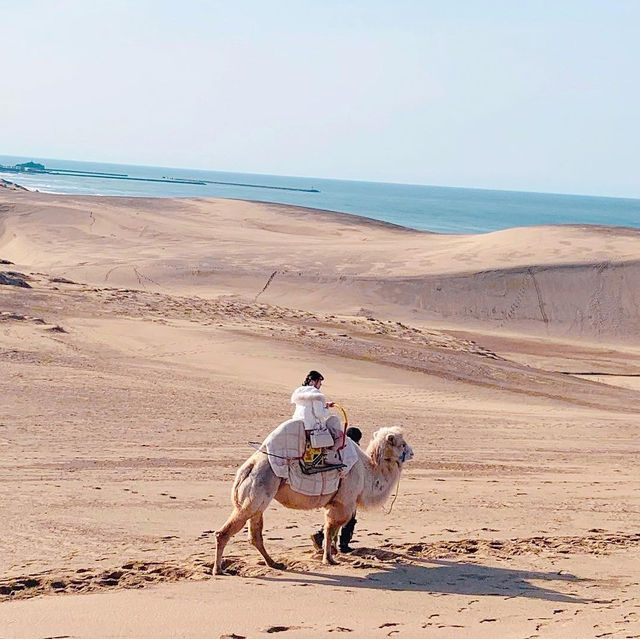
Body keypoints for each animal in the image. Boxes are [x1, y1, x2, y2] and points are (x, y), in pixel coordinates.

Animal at [214, 424, 416, 576]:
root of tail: (248, 467)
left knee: (255, 534)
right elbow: (331, 529)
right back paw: (219, 570)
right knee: (224, 532)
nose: (412, 452)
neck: (368, 472)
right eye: (402, 444)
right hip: (256, 494)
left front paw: (331, 553)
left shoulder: (336, 503)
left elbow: (331, 530)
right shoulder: (344, 502)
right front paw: (329, 559)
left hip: (258, 498)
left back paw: (275, 564)